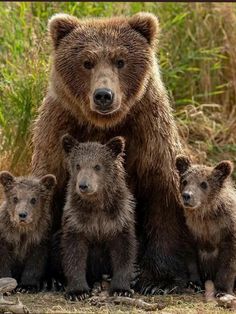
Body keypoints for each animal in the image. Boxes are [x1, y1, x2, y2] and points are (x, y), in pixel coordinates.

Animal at [31, 11, 190, 292]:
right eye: (87, 62)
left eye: (120, 61)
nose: (103, 95)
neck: (102, 125)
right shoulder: (57, 132)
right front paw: (49, 277)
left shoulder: (148, 136)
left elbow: (163, 196)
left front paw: (157, 280)